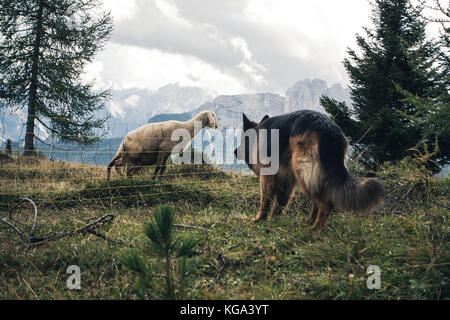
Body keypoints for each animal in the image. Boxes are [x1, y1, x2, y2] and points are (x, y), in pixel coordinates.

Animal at [234, 110, 384, 228]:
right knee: (318, 199)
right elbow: (280, 203)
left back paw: (316, 228)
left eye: (241, 140)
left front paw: (259, 219)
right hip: (314, 173)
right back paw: (309, 221)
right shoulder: (286, 181)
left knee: (325, 202)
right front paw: (274, 220)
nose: (235, 151)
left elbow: (265, 200)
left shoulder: (267, 177)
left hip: (302, 171)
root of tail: (329, 130)